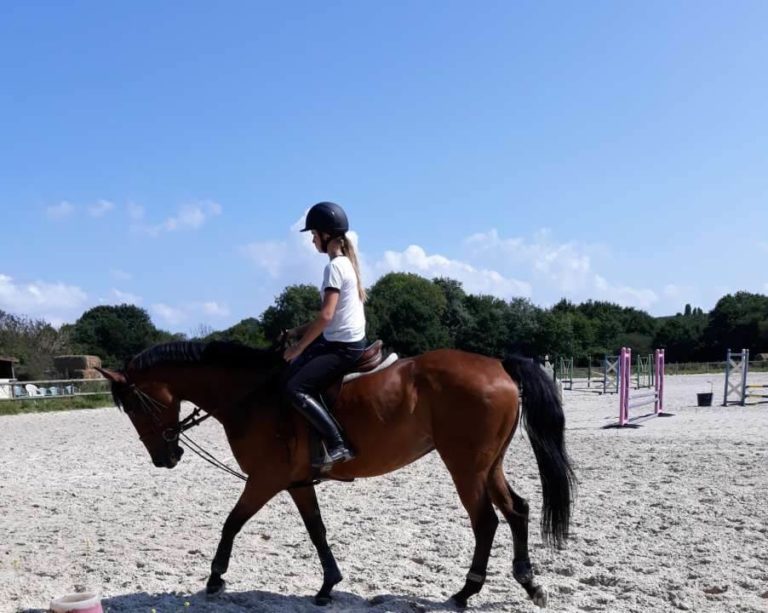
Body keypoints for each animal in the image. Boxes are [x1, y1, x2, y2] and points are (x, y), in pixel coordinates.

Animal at [97, 340, 574, 609]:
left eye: (136, 404)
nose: (165, 457)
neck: (251, 396)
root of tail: (498, 365)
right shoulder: (295, 482)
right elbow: (317, 530)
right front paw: (328, 586)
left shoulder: (265, 480)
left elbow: (231, 523)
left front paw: (215, 579)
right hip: (488, 465)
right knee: (516, 511)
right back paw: (529, 583)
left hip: (465, 466)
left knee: (486, 521)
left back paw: (465, 592)